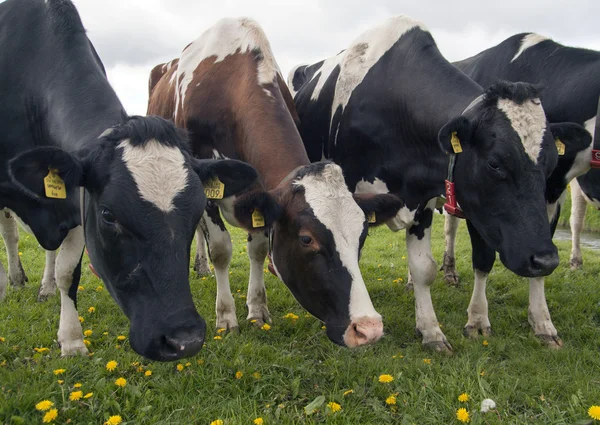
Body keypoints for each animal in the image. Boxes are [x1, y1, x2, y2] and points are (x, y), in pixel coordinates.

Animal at [0, 0, 258, 360]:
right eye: (109, 215)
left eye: (196, 212)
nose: (184, 340)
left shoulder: (75, 205)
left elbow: (68, 272)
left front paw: (71, 339)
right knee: (10, 236)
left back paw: (45, 288)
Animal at [146, 17, 404, 348]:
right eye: (306, 239)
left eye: (362, 236)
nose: (367, 328)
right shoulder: (208, 185)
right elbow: (221, 249)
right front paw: (226, 318)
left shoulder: (260, 195)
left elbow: (257, 249)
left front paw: (257, 311)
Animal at [290, 14, 576, 350]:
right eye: (495, 163)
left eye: (551, 164)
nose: (545, 259)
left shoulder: (422, 200)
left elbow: (424, 267)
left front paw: (430, 330)